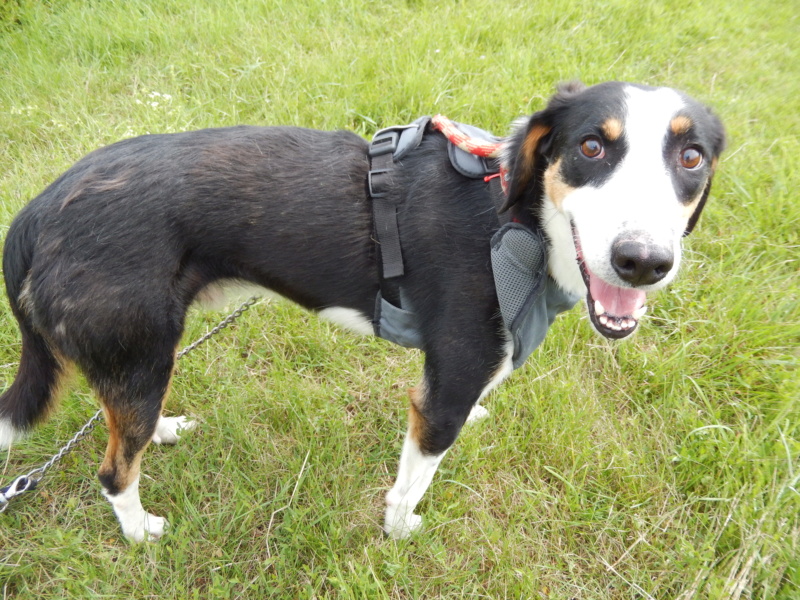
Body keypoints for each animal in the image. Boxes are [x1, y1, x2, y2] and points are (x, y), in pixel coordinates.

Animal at [0, 79, 724, 540]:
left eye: (692, 157)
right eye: (591, 147)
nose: (642, 260)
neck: (518, 221)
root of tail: (35, 215)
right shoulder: (438, 403)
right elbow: (412, 483)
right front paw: (400, 531)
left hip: (140, 363)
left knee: (123, 428)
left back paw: (165, 431)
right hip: (139, 355)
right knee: (113, 470)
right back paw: (140, 533)